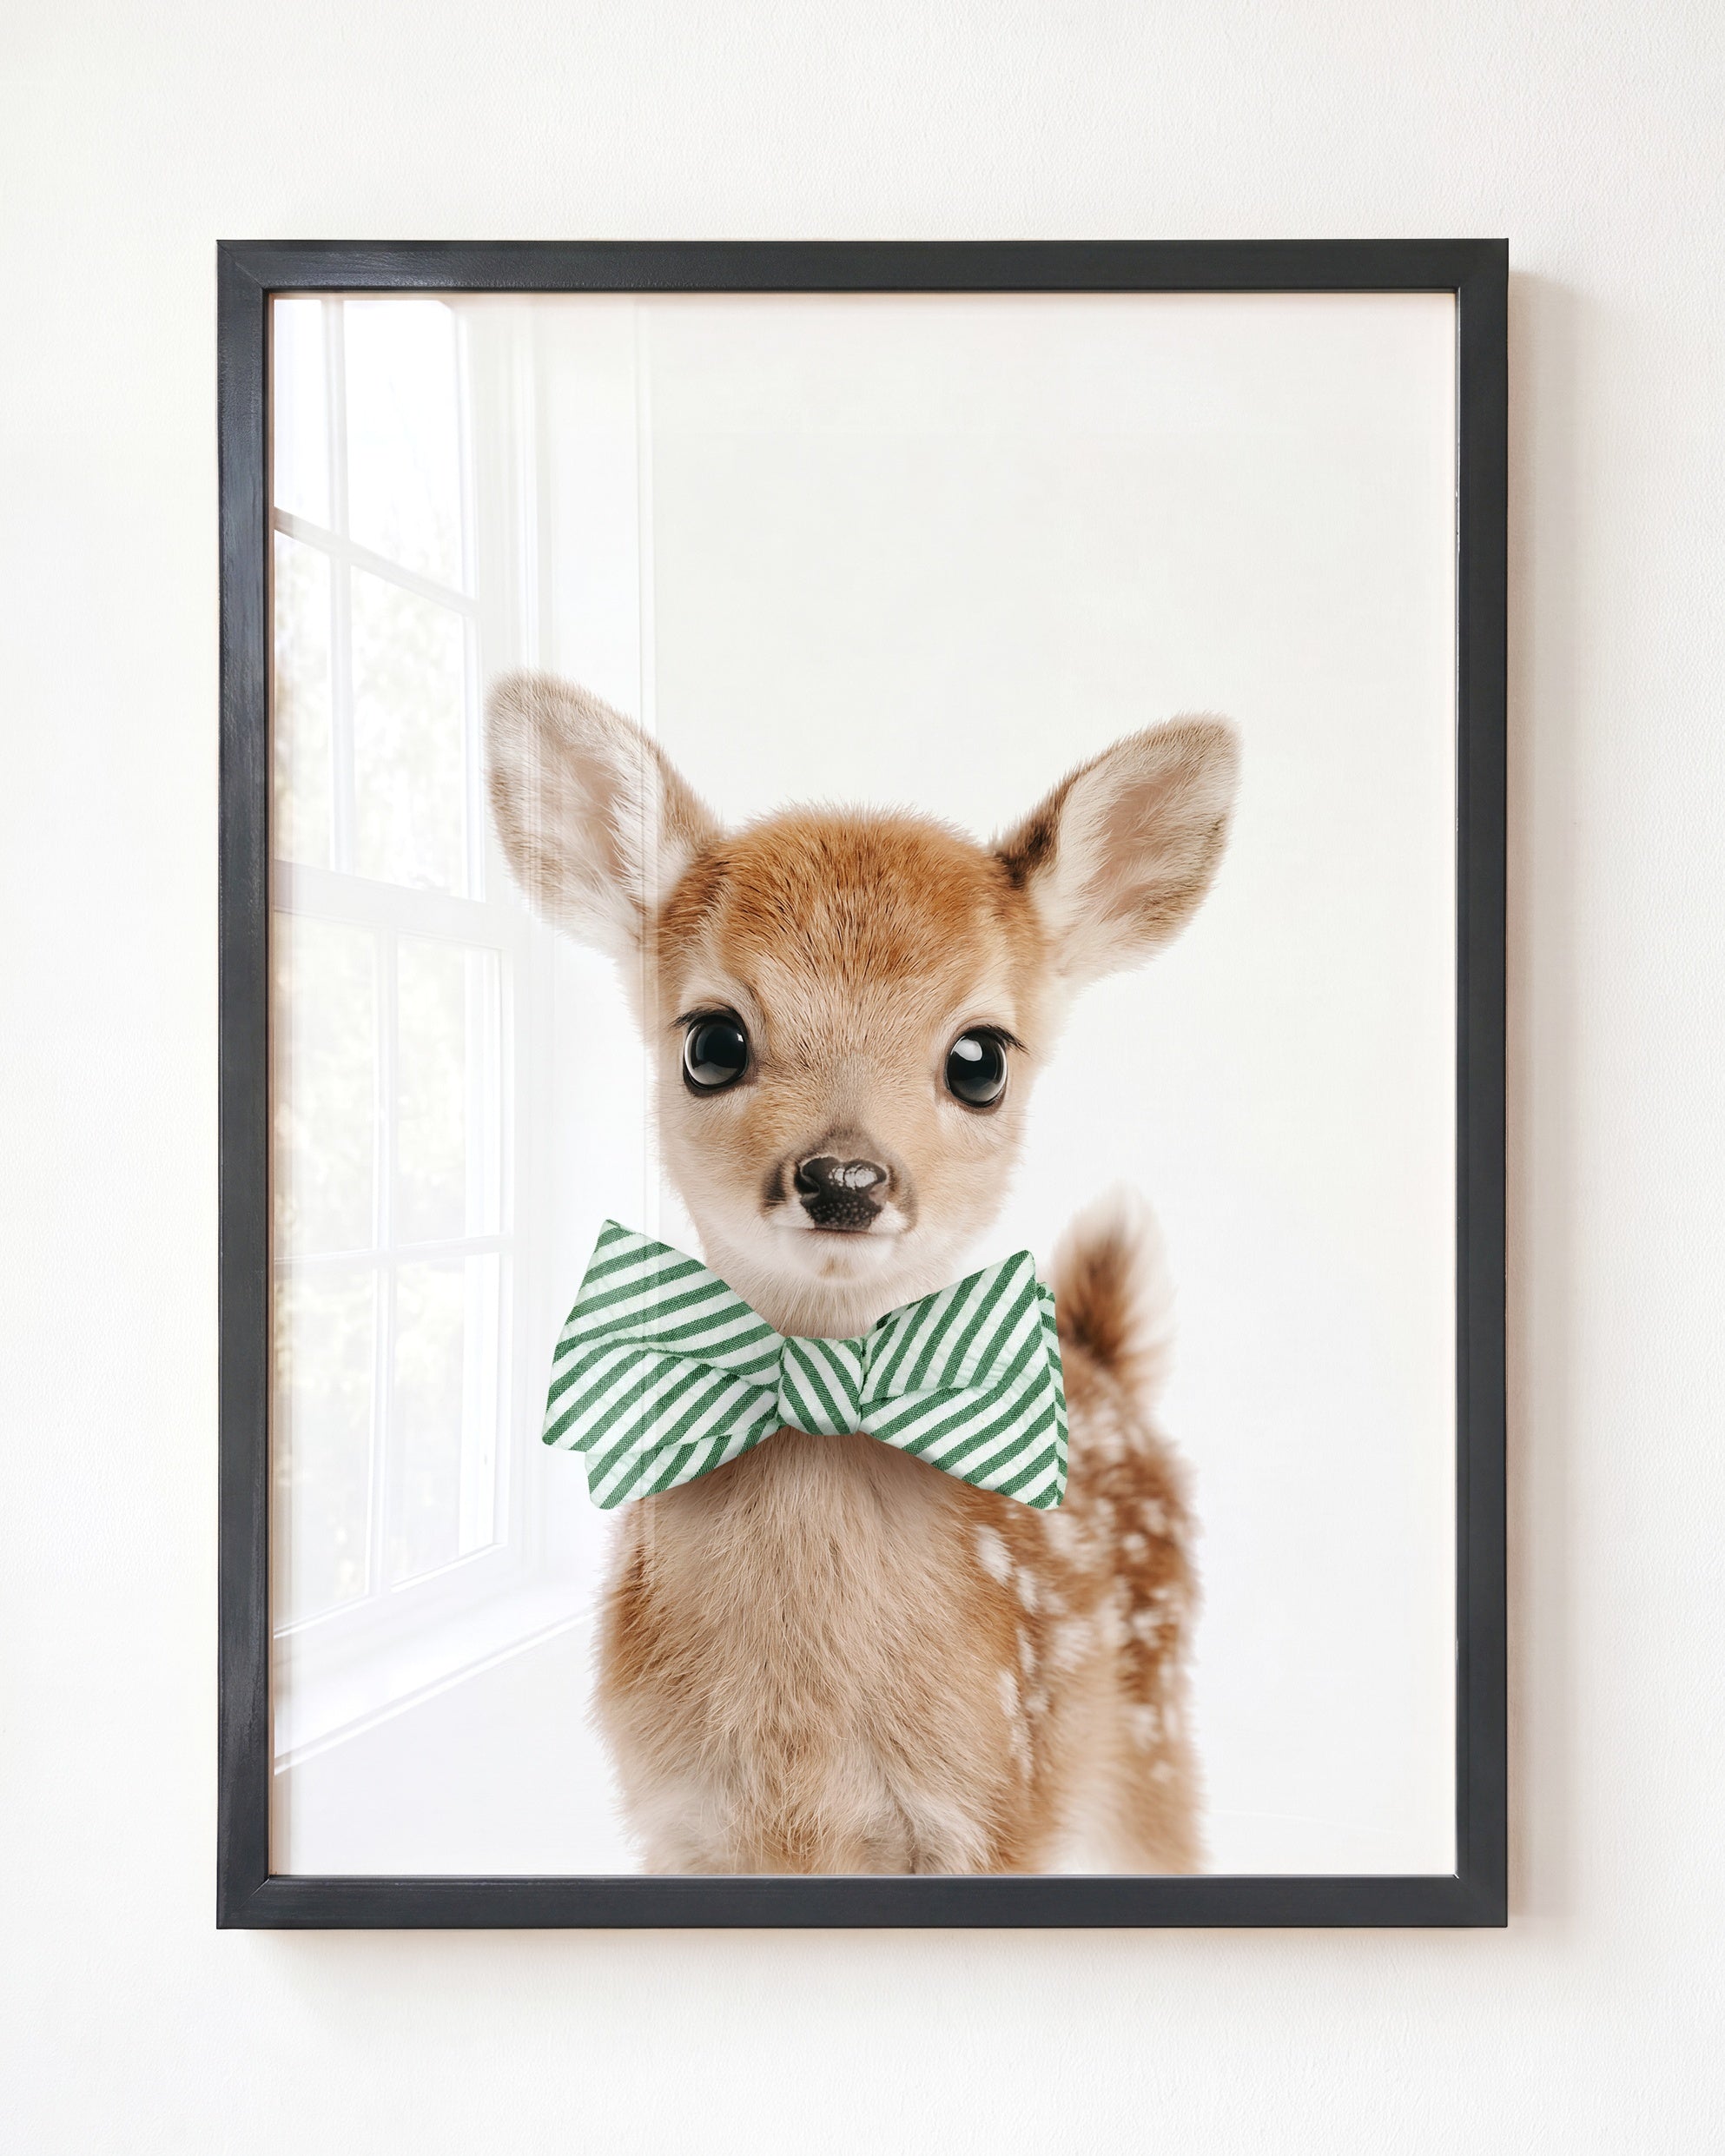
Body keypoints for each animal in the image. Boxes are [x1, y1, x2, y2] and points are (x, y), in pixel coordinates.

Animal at [486, 672, 1238, 1874]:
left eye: (981, 1059)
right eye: (711, 1042)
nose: (844, 1176)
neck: (802, 1756)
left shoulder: (994, 1807)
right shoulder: (678, 1821)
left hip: (1148, 1734)